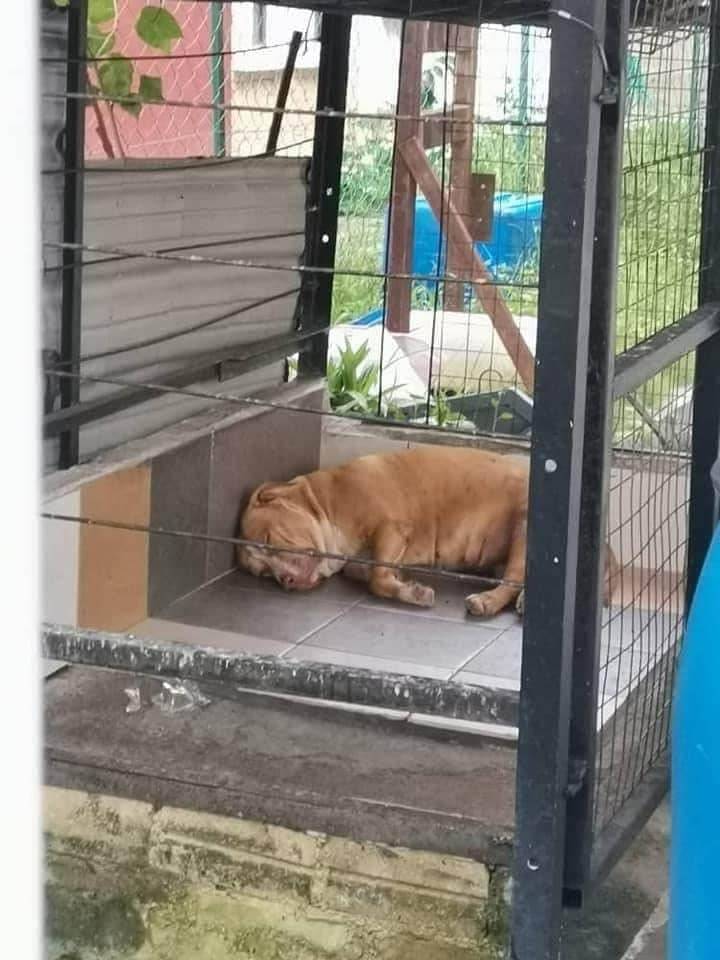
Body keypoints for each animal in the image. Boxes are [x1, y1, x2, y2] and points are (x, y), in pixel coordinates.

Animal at [238, 446, 619, 618]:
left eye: (269, 540)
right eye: (262, 573)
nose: (285, 581)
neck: (325, 502)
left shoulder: (391, 527)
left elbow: (378, 579)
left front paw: (413, 592)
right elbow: (377, 577)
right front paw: (408, 589)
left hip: (525, 532)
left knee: (511, 580)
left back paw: (488, 601)